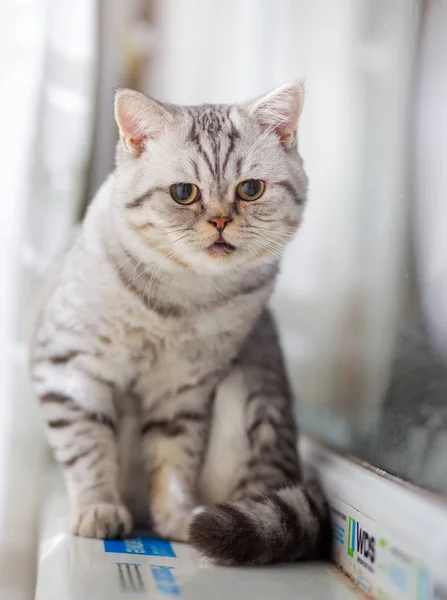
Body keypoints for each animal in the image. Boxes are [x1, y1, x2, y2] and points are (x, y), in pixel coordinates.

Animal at [28, 82, 328, 564]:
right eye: (184, 192)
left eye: (250, 189)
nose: (220, 220)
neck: (180, 299)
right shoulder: (70, 368)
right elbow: (87, 448)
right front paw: (99, 509)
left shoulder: (184, 389)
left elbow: (173, 460)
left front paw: (178, 519)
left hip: (250, 403)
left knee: (262, 499)